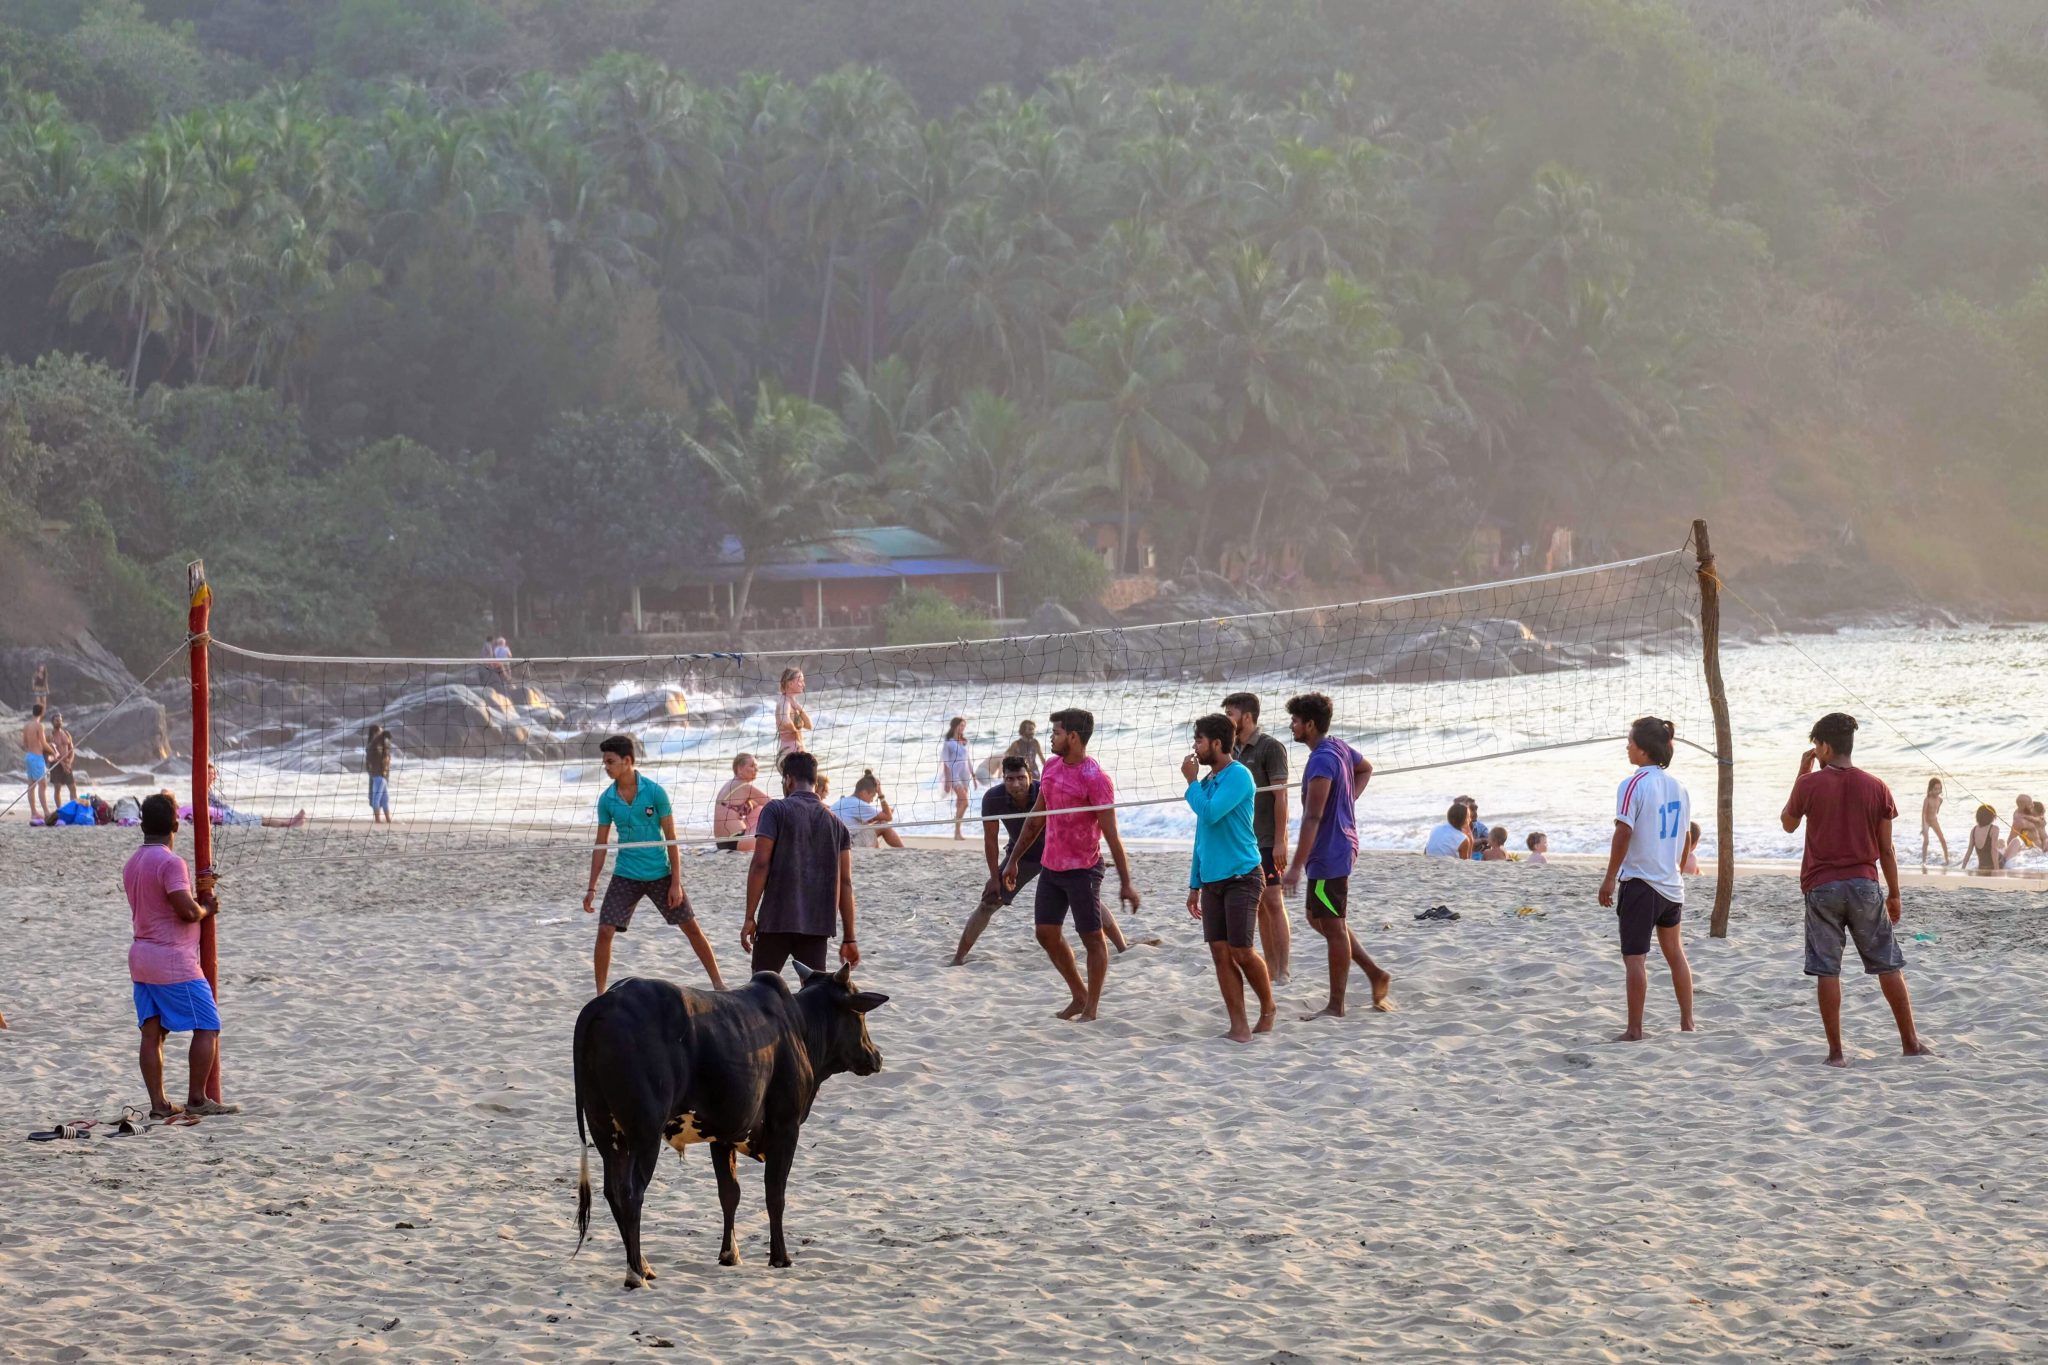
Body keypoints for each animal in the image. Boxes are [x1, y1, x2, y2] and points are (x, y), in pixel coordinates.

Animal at [581, 957, 892, 1285]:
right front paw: (780, 1257)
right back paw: (635, 1273)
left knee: (614, 1191)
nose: (877, 1056)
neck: (799, 1026)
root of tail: (605, 1002)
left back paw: (643, 1264)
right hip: (645, 1135)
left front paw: (729, 1253)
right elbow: (775, 1194)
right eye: (859, 1014)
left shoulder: (722, 1134)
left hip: (607, 1133)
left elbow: (729, 1193)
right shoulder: (786, 1126)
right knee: (632, 1194)